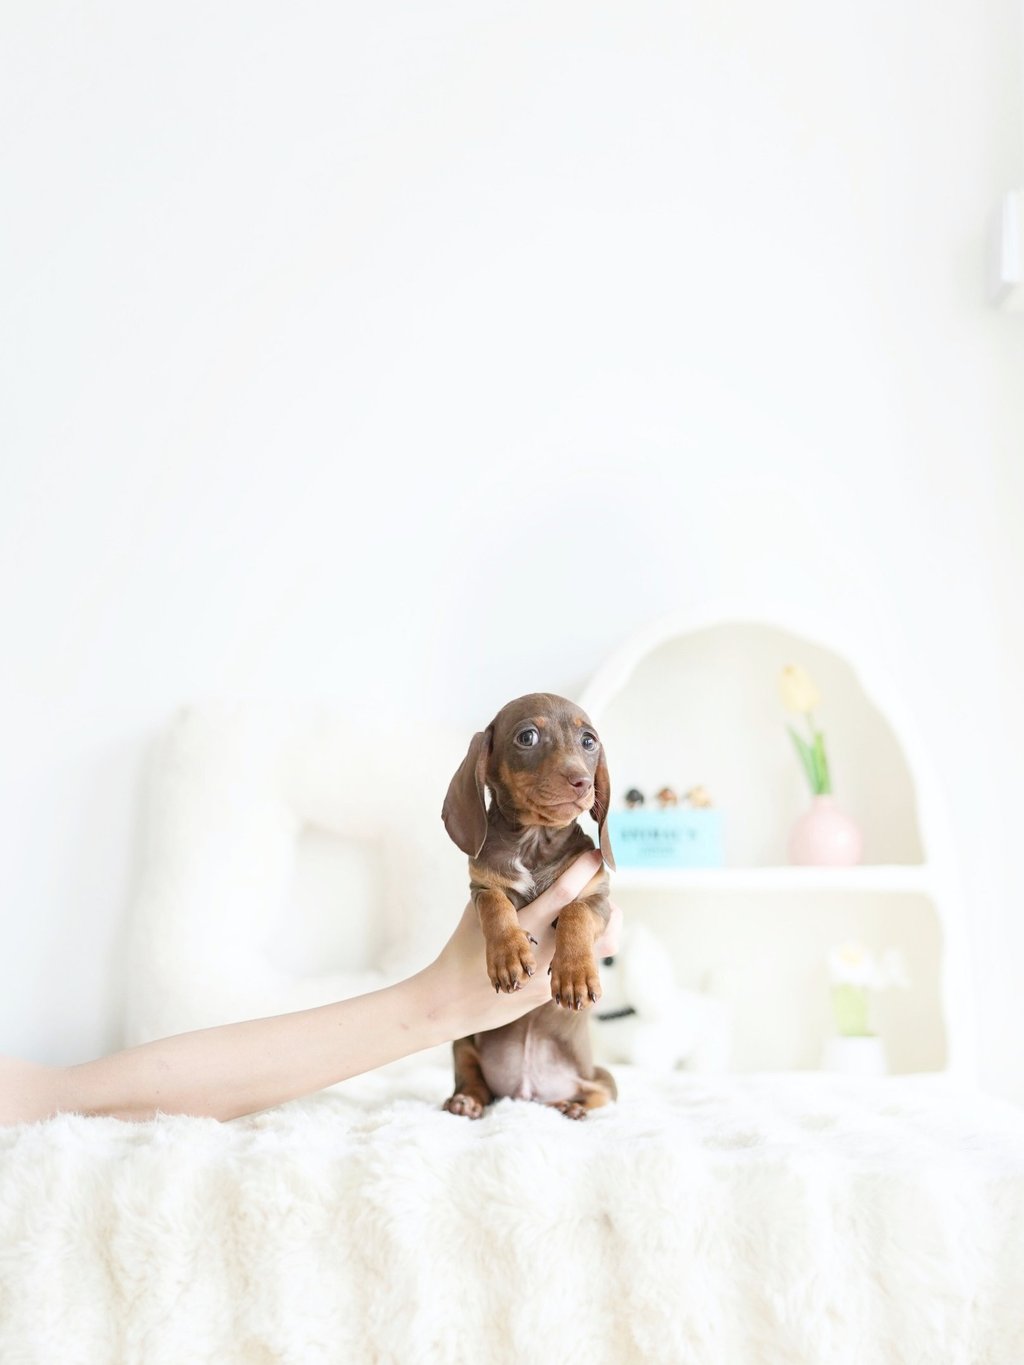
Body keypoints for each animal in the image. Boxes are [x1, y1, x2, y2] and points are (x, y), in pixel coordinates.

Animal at [440, 693, 617, 1120]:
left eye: (589, 741)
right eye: (528, 737)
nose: (583, 782)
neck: (534, 843)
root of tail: (526, 1092)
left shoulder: (599, 897)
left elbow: (576, 912)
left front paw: (575, 974)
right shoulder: (481, 885)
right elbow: (494, 904)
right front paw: (508, 955)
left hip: (600, 1074)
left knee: (598, 1092)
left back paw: (572, 1106)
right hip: (462, 1041)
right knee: (473, 1077)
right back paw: (467, 1100)